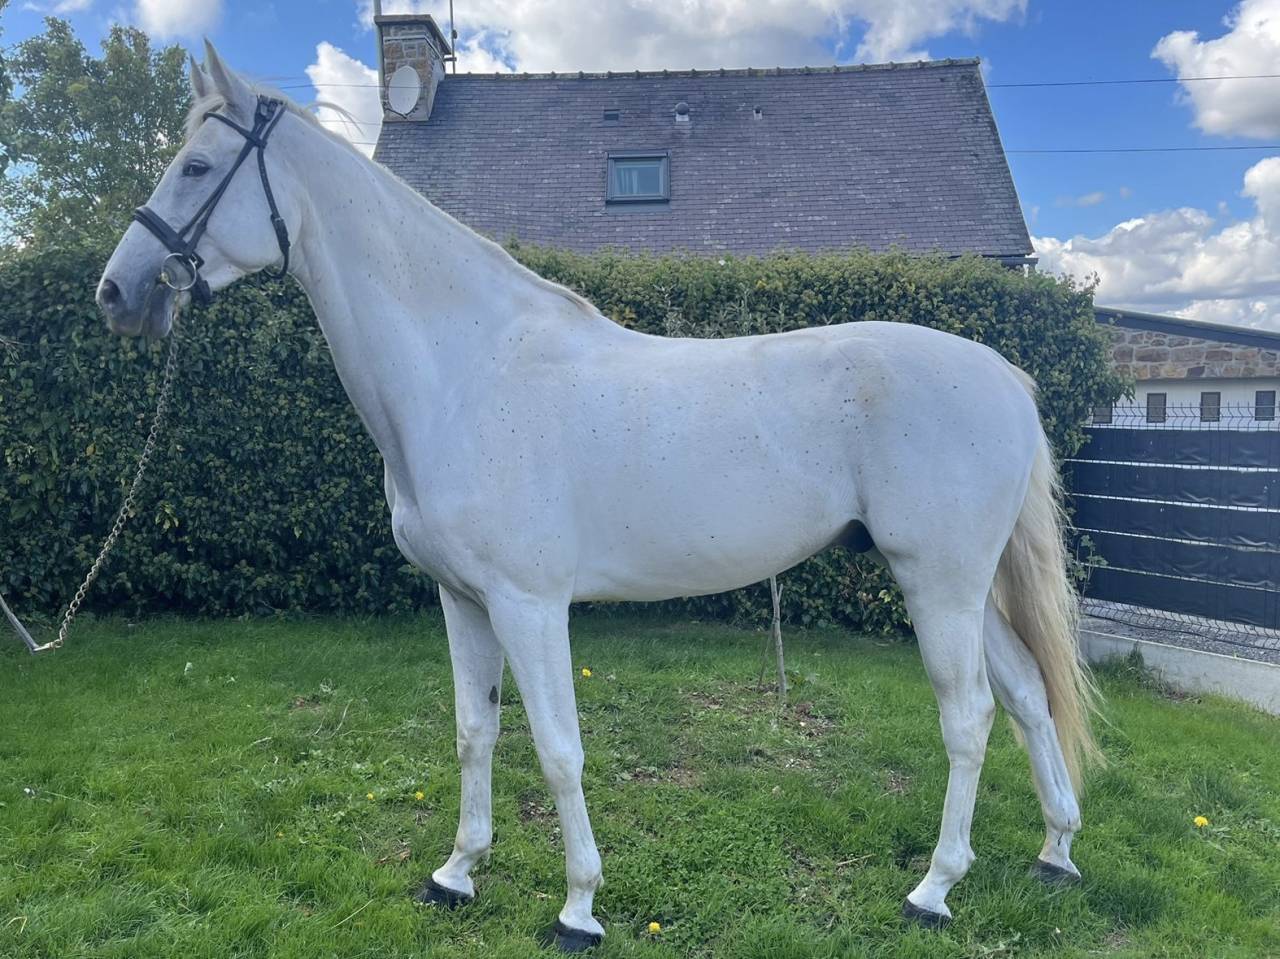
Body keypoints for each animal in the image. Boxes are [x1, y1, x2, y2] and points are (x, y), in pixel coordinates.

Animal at [97, 43, 1100, 951]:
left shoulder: (530, 605)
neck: (469, 370)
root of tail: (1006, 376)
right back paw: (1056, 852)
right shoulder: (462, 600)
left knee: (970, 715)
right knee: (1025, 694)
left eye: (195, 166)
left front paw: (578, 906)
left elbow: (557, 749)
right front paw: (456, 873)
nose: (116, 293)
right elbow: (473, 731)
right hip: (966, 587)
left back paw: (934, 888)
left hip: (939, 584)